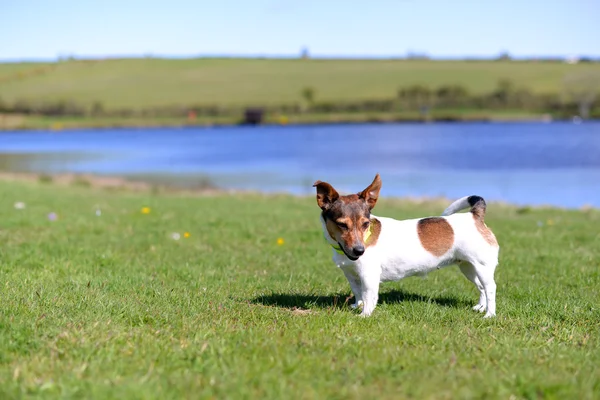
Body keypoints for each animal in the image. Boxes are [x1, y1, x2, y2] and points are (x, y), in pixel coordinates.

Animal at [312, 173, 500, 318]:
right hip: (468, 267)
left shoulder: (369, 276)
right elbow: (358, 292)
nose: (359, 250)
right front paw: (357, 306)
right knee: (481, 287)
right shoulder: (351, 275)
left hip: (482, 266)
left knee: (490, 288)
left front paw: (364, 314)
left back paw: (489, 314)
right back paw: (480, 307)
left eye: (365, 224)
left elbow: (368, 296)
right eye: (342, 225)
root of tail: (474, 216)